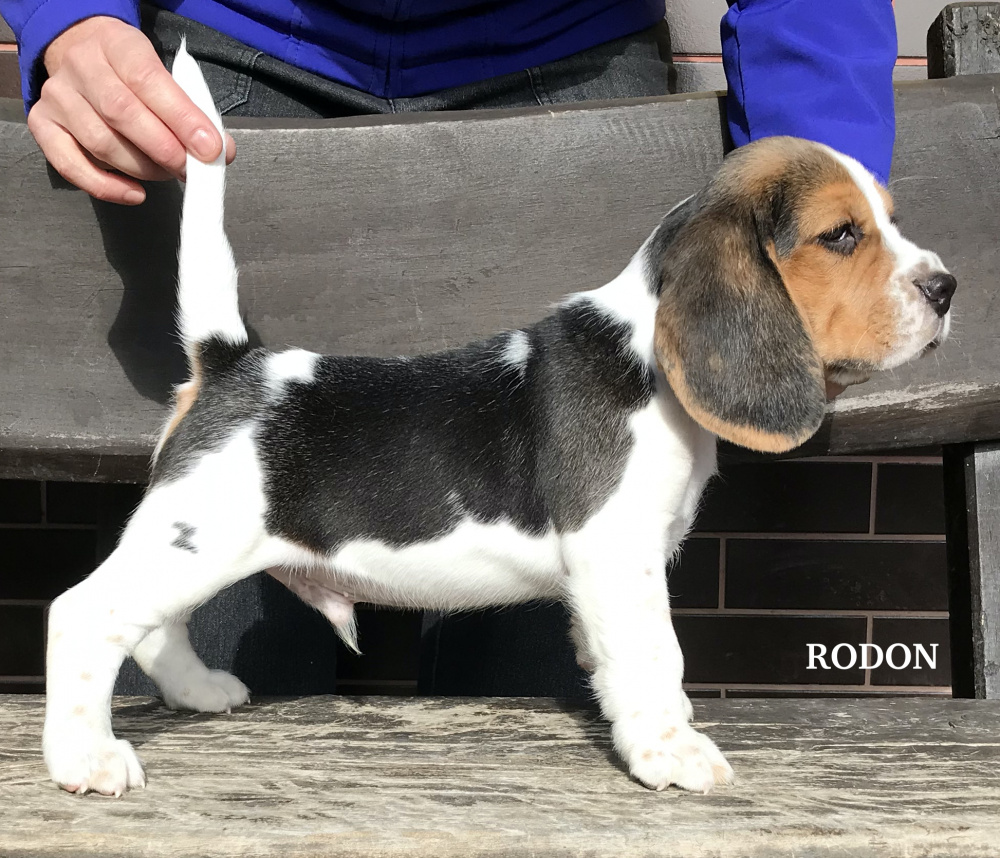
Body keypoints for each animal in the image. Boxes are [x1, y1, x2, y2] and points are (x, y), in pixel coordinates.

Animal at [43, 42, 956, 797]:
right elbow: (657, 652)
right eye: (841, 236)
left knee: (150, 630)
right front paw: (673, 751)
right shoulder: (619, 553)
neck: (649, 357)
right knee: (81, 616)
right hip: (194, 540)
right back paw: (85, 758)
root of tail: (231, 362)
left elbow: (619, 658)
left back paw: (198, 691)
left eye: (890, 219)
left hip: (188, 548)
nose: (946, 287)